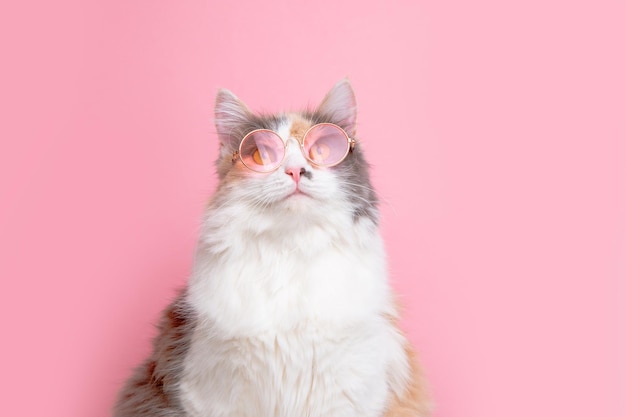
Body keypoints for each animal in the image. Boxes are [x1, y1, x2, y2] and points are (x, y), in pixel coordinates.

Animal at [114, 79, 432, 414]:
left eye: (321, 150)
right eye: (261, 156)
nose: (295, 171)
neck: (290, 247)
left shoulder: (347, 390)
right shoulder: (211, 392)